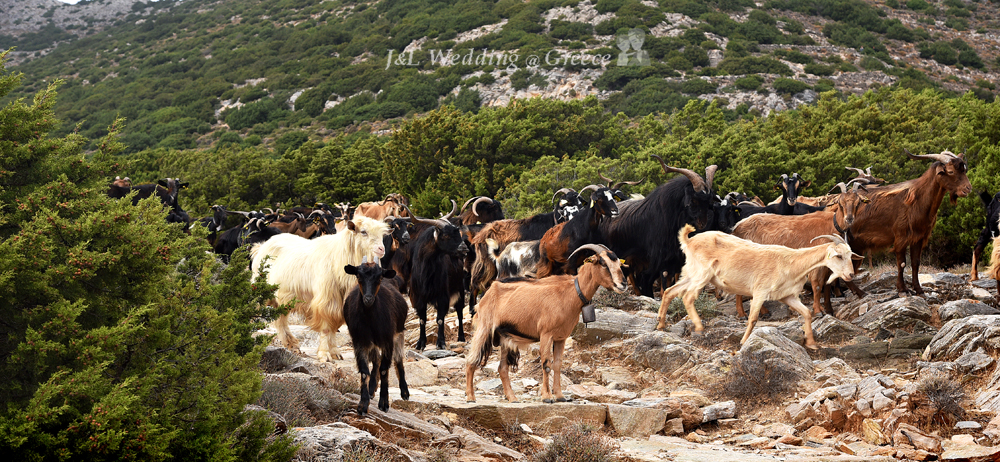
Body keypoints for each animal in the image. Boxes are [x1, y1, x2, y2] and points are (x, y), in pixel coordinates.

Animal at [250, 215, 390, 362]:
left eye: (382, 234)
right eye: (363, 232)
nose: (381, 249)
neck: (338, 257)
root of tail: (261, 247)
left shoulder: (340, 301)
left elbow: (334, 327)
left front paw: (335, 352)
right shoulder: (326, 299)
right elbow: (326, 328)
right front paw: (324, 354)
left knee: (280, 320)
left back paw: (291, 344)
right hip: (259, 289)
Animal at [342, 258, 408, 416]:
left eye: (379, 278)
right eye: (358, 276)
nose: (368, 299)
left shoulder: (387, 340)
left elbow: (384, 369)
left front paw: (384, 403)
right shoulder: (359, 341)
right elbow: (364, 371)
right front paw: (363, 404)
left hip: (399, 332)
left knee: (398, 359)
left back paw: (405, 392)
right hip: (372, 342)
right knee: (376, 360)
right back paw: (372, 388)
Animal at [656, 225, 860, 350]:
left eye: (850, 255)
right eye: (838, 256)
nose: (850, 275)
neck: (791, 262)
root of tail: (689, 241)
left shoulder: (788, 296)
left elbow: (807, 313)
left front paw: (811, 342)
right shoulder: (760, 291)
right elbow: (753, 318)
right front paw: (743, 341)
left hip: (691, 273)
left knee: (670, 292)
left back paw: (661, 324)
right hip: (702, 274)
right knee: (688, 297)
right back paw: (698, 327)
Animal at [732, 182, 872, 316]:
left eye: (858, 203)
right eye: (840, 203)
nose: (849, 219)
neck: (831, 225)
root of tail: (737, 227)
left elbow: (826, 283)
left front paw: (828, 309)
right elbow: (817, 284)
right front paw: (818, 311)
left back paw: (763, 312)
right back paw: (742, 313)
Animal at [844, 150, 968, 298]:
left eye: (964, 170)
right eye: (950, 171)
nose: (968, 189)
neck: (917, 201)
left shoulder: (918, 237)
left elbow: (915, 263)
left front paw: (919, 289)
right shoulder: (901, 236)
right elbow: (902, 263)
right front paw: (902, 289)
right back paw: (859, 292)